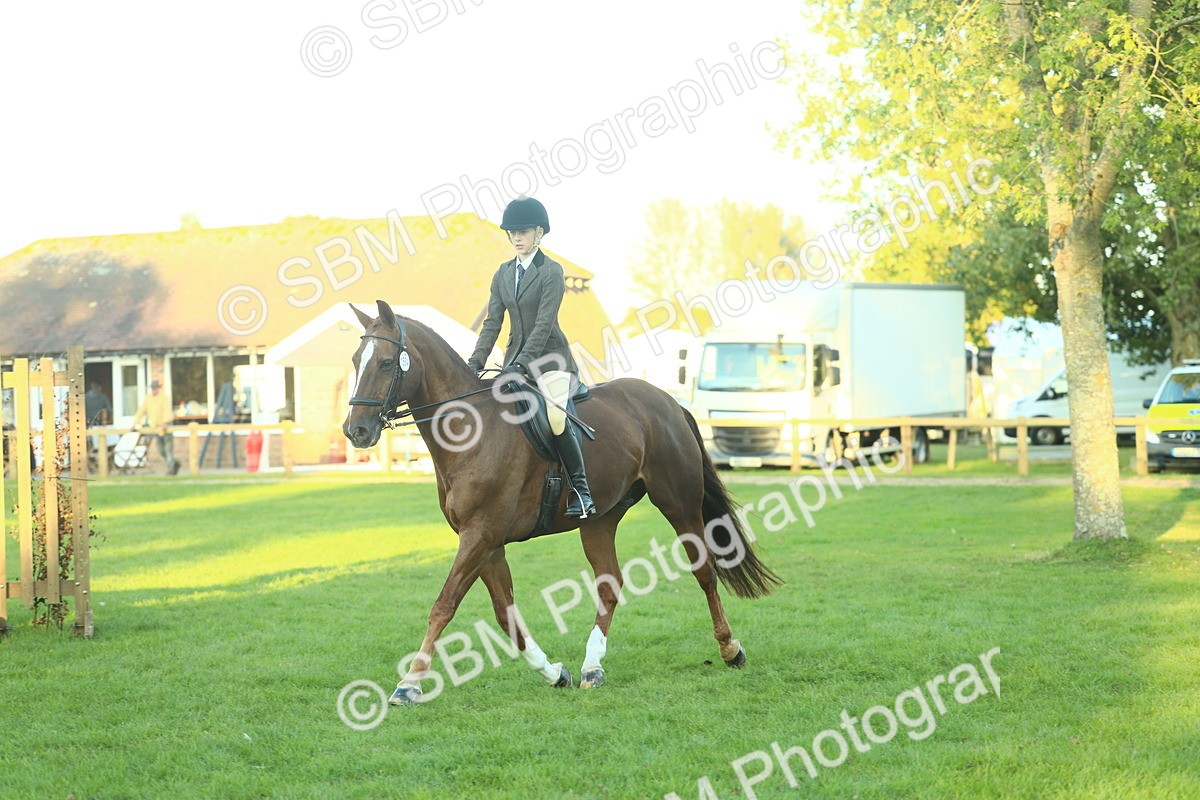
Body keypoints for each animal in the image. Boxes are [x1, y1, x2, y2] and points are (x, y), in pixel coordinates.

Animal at [342, 300, 780, 703]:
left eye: (386, 363)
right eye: (355, 360)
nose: (355, 431)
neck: (471, 430)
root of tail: (668, 401)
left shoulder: (480, 535)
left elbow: (444, 605)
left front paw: (409, 683)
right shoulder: (486, 542)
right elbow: (505, 614)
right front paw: (555, 673)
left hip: (679, 504)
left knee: (704, 571)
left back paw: (730, 648)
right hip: (600, 519)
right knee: (610, 584)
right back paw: (592, 667)